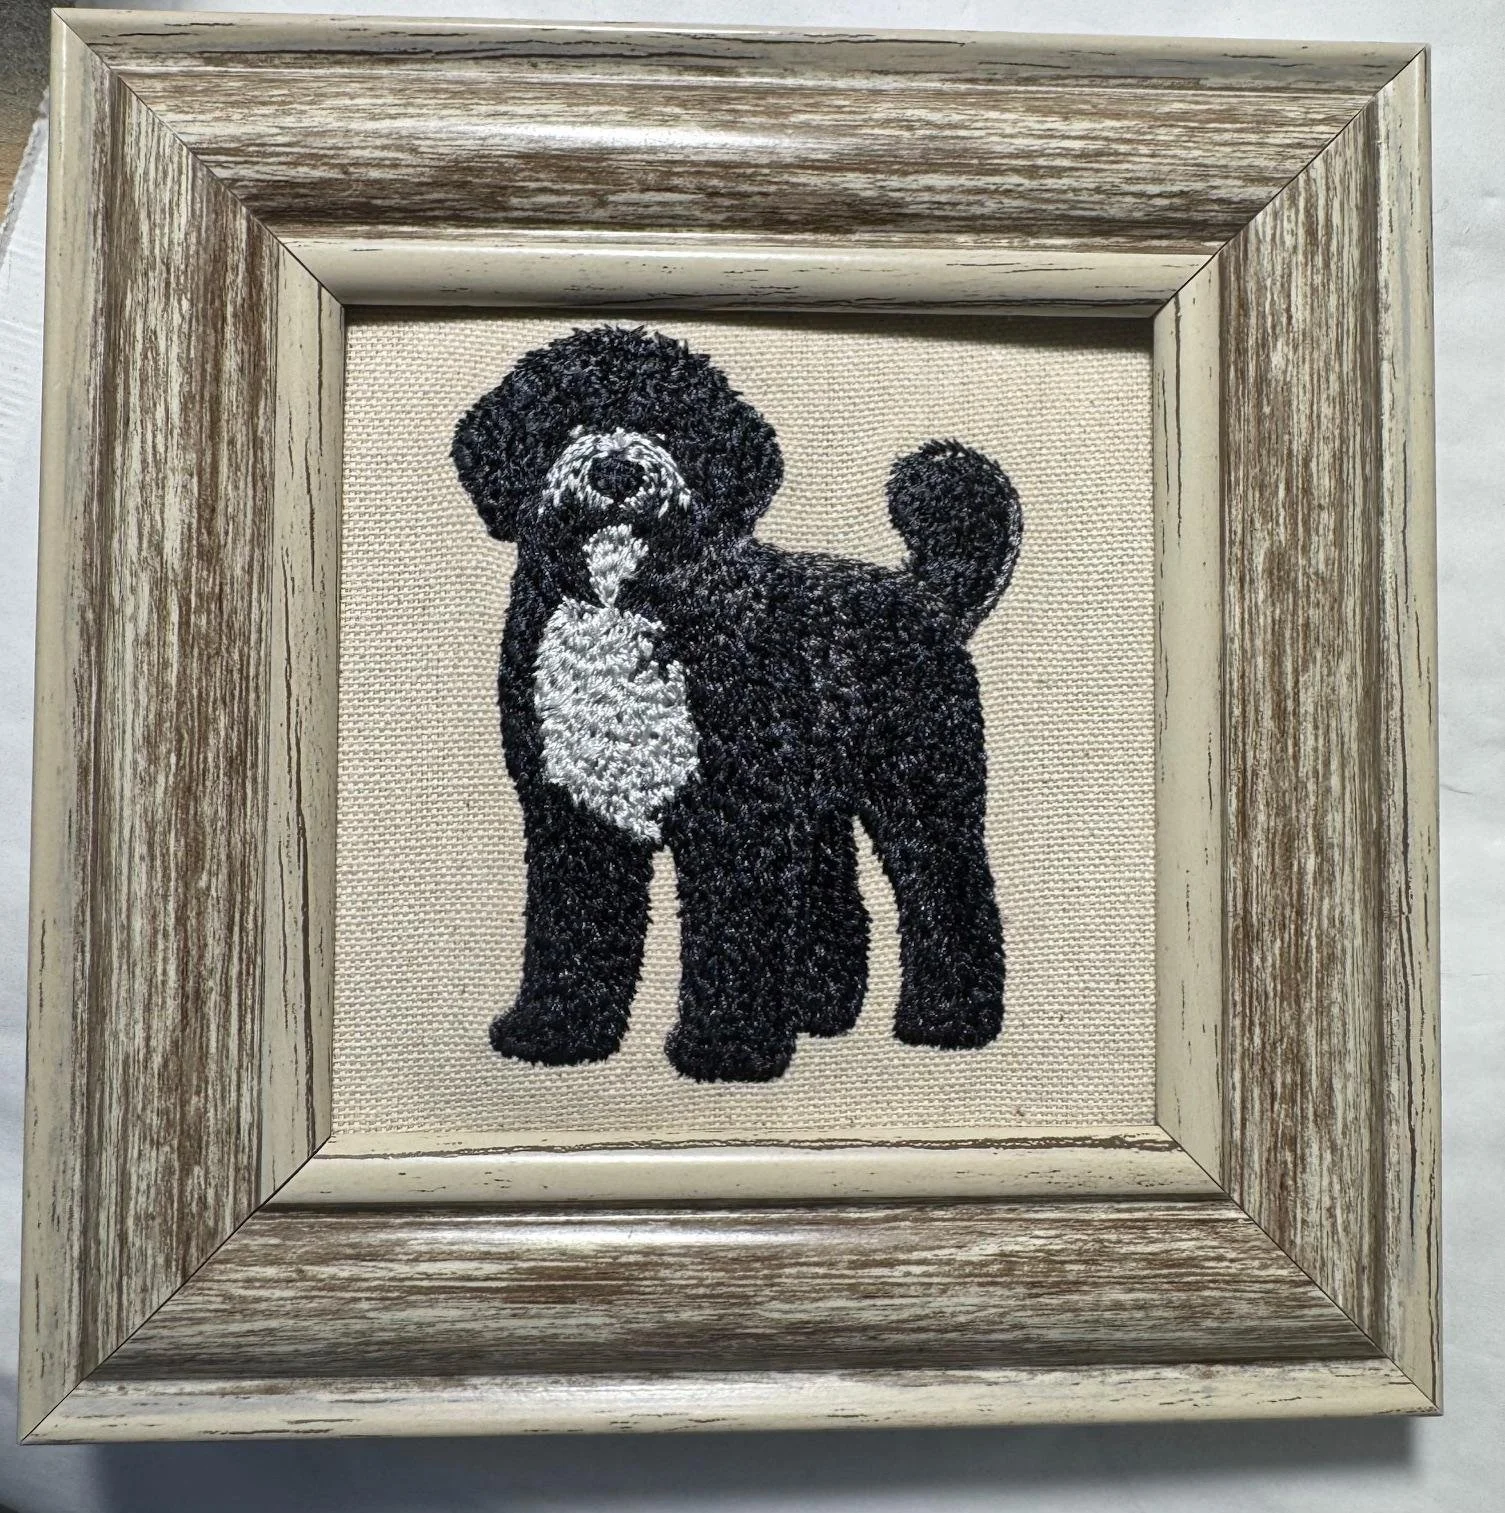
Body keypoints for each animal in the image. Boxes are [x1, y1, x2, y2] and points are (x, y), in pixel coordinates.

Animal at [451, 324, 1023, 1083]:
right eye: (567, 423)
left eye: (667, 426)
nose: (615, 473)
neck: (619, 607)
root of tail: (923, 592)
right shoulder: (574, 810)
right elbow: (573, 925)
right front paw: (555, 1030)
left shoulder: (737, 815)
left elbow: (735, 931)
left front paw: (727, 1046)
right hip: (815, 799)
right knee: (832, 899)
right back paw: (816, 1007)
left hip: (922, 787)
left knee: (949, 891)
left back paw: (950, 1018)